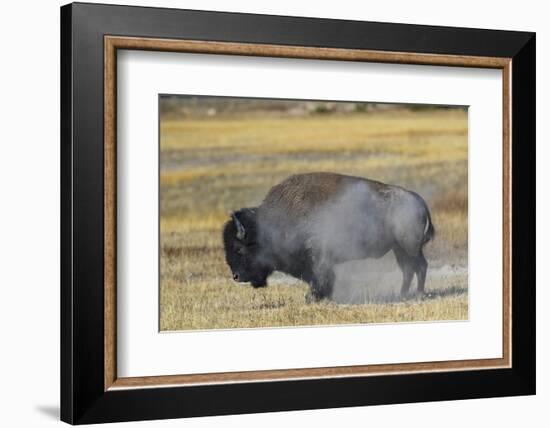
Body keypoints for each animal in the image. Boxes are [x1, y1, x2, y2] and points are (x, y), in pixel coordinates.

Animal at [224, 171, 436, 300]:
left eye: (239, 248)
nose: (235, 276)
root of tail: (418, 201)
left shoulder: (319, 258)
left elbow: (321, 277)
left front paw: (313, 298)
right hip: (398, 249)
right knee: (408, 270)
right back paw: (402, 295)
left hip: (409, 248)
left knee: (420, 267)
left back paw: (419, 295)